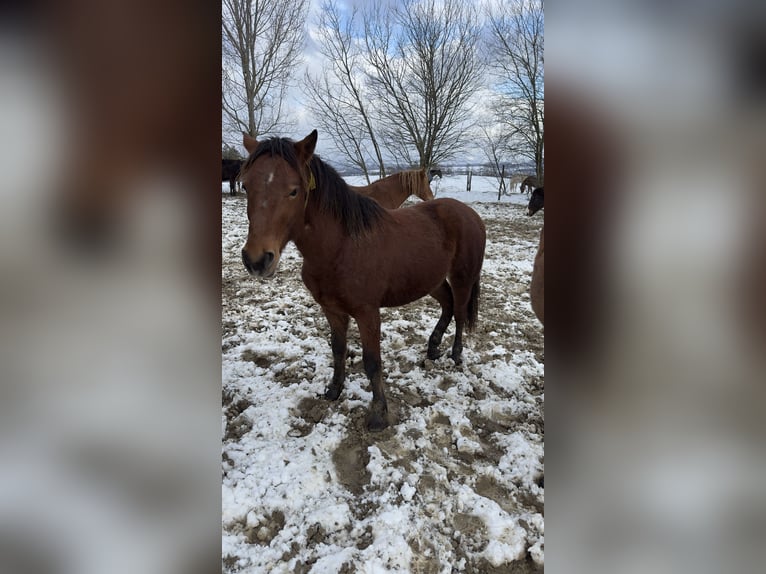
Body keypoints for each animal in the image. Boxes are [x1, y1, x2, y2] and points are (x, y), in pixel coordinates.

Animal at [240, 132, 486, 432]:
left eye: (294, 191)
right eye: (246, 186)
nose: (256, 260)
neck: (341, 246)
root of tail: (470, 214)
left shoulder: (367, 312)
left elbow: (372, 362)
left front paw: (379, 414)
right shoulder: (332, 310)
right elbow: (338, 349)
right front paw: (334, 390)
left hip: (463, 277)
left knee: (460, 312)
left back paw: (456, 355)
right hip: (432, 280)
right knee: (448, 305)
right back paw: (433, 348)